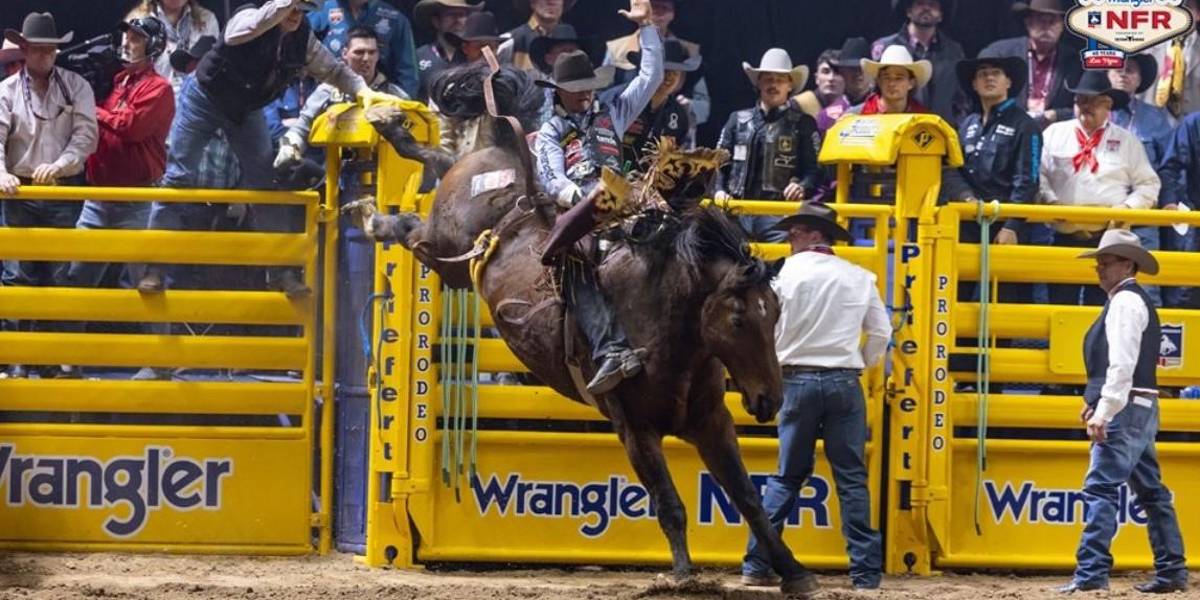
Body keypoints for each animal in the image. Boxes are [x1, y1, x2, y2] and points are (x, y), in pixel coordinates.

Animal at [349, 61, 818, 595]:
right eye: (739, 318)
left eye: (775, 312)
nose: (770, 400)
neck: (666, 330)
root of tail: (512, 165)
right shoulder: (633, 426)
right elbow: (670, 505)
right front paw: (682, 574)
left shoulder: (712, 422)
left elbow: (750, 501)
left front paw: (794, 572)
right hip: (443, 248)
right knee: (413, 227)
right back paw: (374, 204)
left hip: (456, 231)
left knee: (445, 156)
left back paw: (395, 134)